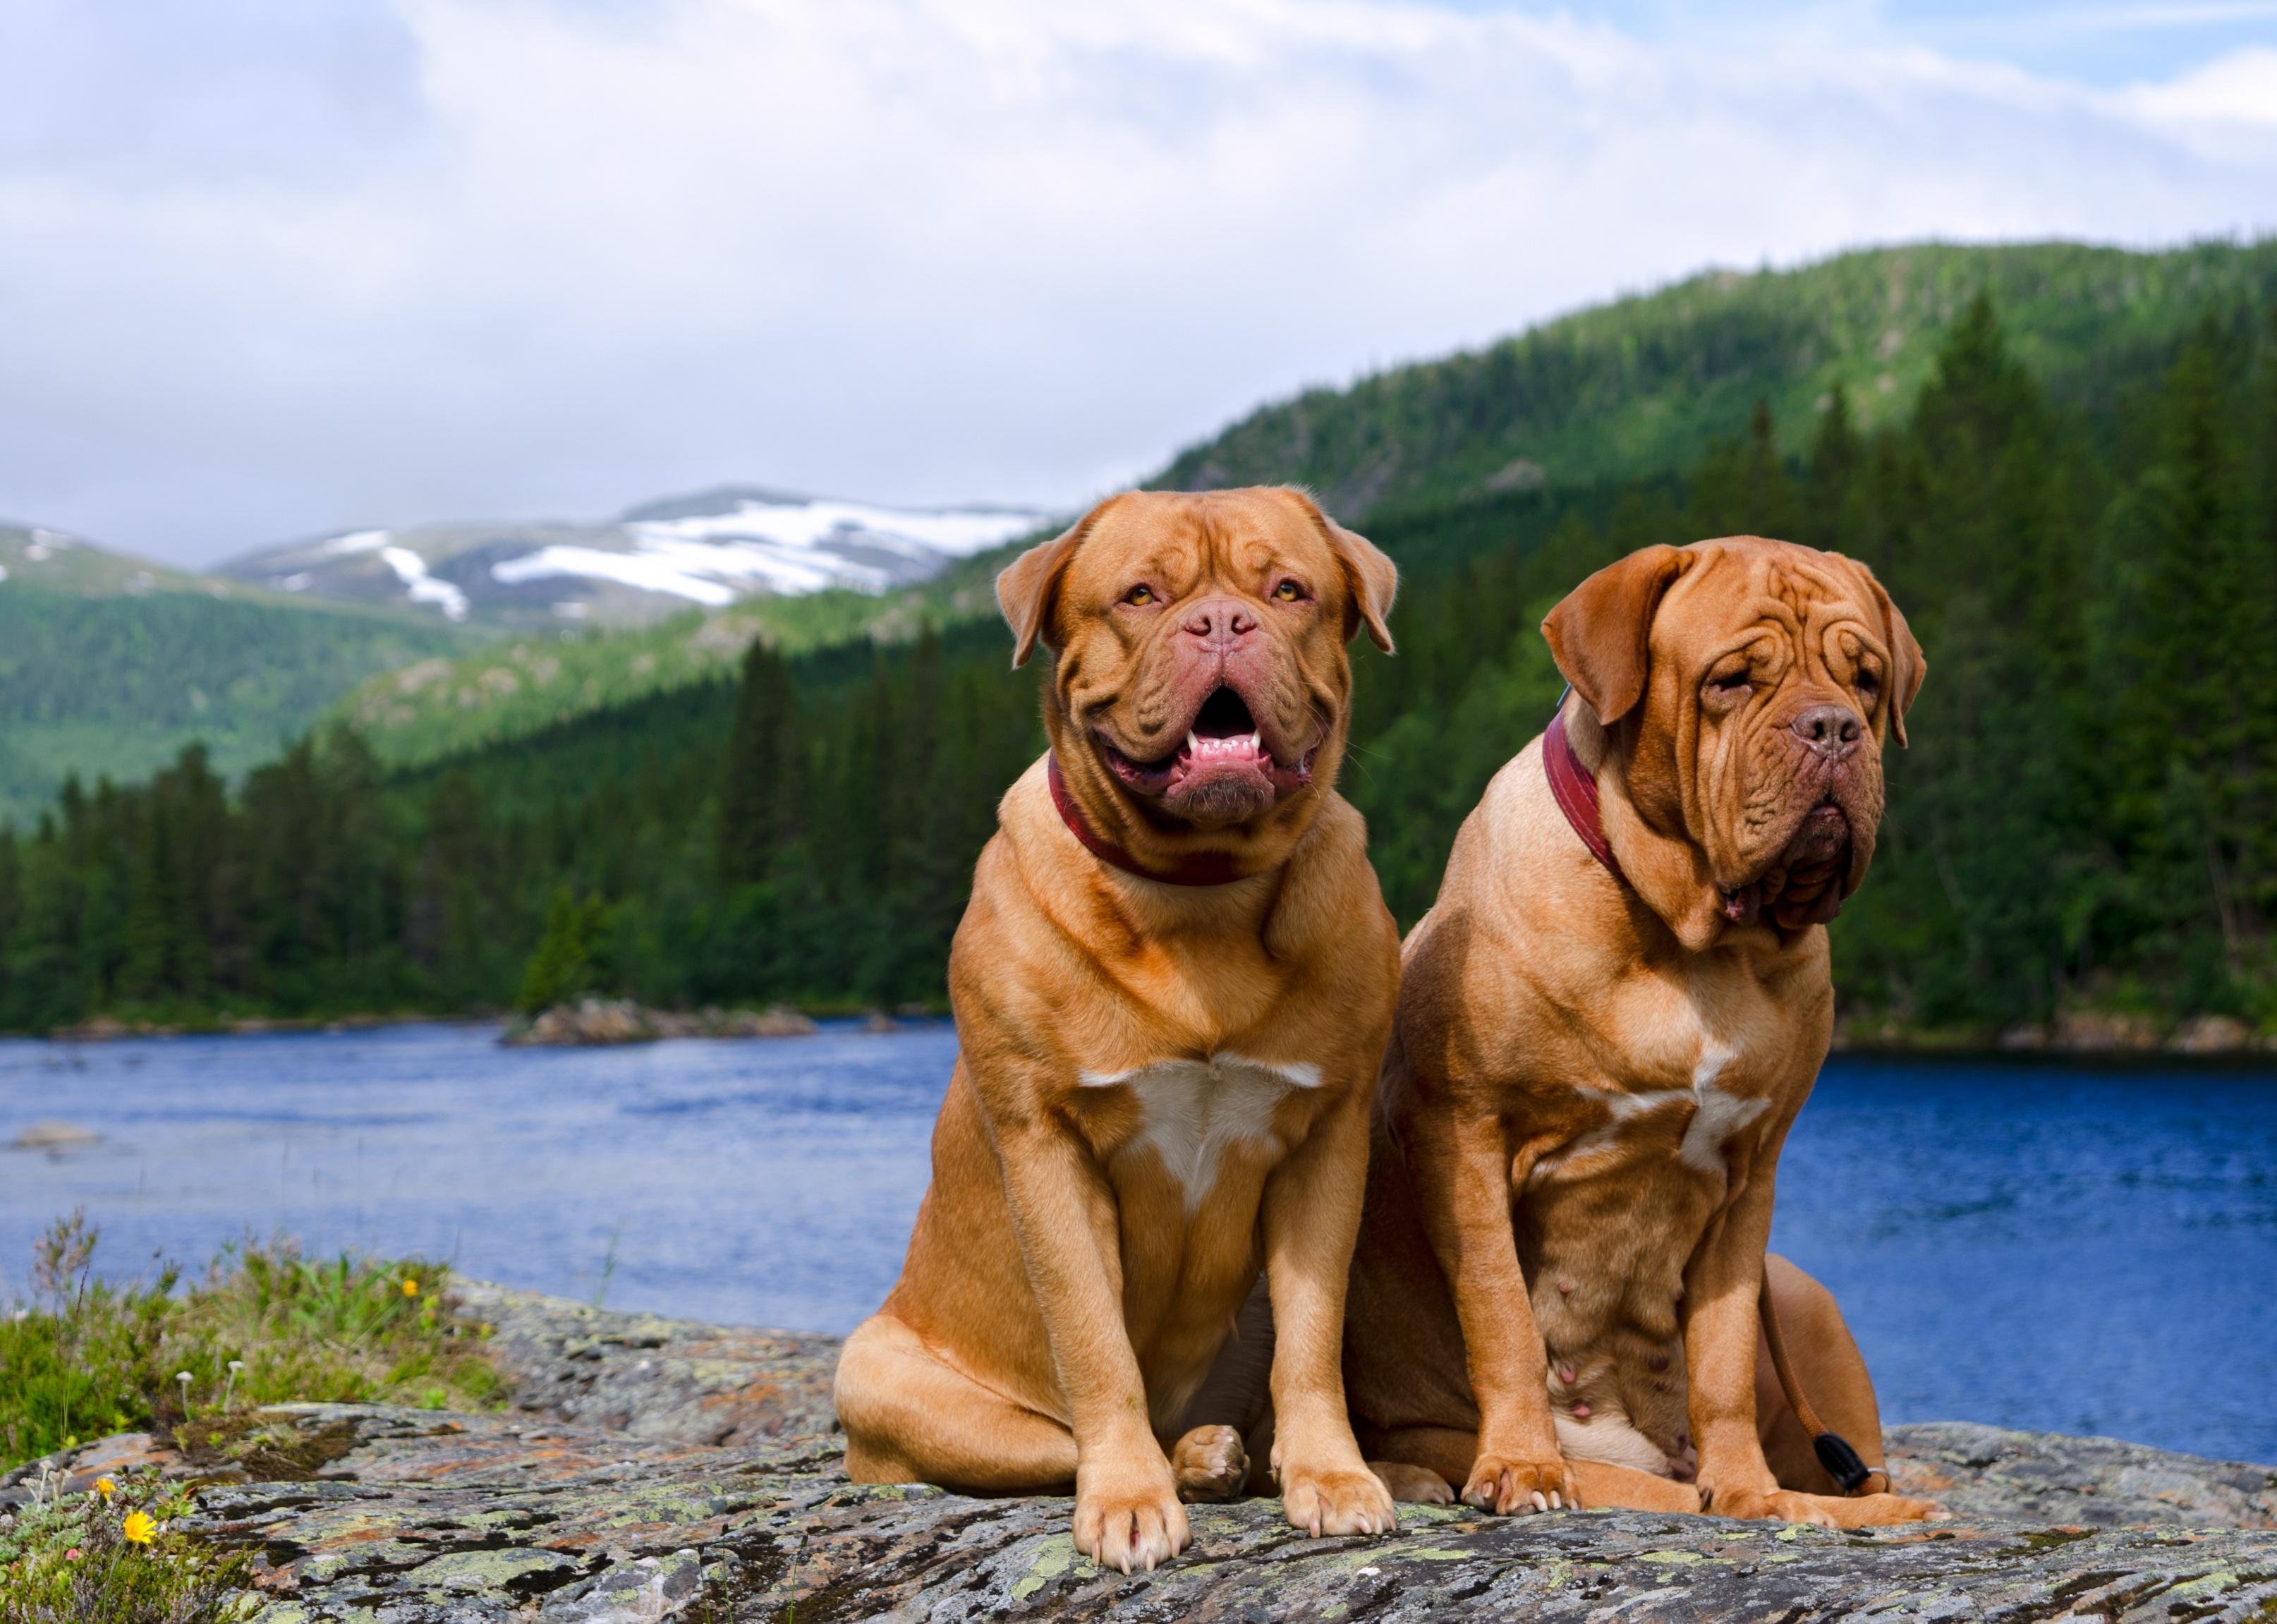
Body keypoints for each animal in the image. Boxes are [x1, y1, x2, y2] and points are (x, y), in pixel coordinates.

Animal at [837, 485, 1402, 1567]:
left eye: (1288, 589)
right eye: (1141, 594)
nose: (1222, 621)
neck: (1200, 894)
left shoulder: (1328, 1141)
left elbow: (1314, 1336)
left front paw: (1332, 1474)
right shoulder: (1048, 1143)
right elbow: (1096, 1341)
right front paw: (1131, 1499)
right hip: (876, 1370)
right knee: (1051, 1438)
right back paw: (1178, 1461)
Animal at [1339, 537, 1949, 1530]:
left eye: (1866, 680)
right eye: (1732, 680)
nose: (1832, 729)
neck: (1691, 942)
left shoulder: (1750, 1178)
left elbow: (1725, 1355)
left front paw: (1749, 1491)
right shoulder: (1464, 1136)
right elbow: (1502, 1314)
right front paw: (1524, 1462)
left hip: (1810, 1307)